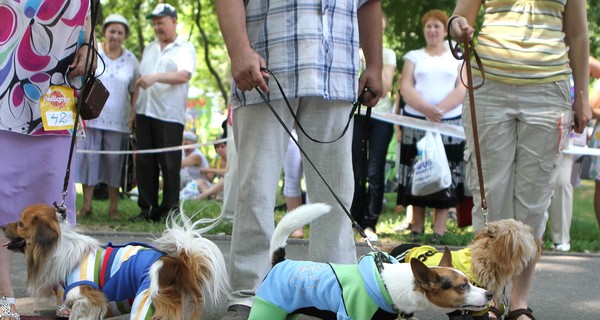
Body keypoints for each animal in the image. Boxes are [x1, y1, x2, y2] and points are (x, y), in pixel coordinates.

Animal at [2, 204, 230, 318]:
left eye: (20, 223)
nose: (2, 226)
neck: (58, 247)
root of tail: (174, 264)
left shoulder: (89, 299)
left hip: (146, 300)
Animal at [248, 204, 492, 318]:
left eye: (470, 281)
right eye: (462, 287)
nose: (489, 294)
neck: (390, 286)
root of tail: (280, 261)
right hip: (269, 310)